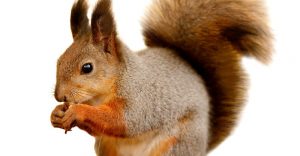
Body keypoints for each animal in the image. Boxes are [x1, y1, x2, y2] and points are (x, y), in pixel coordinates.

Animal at [49, 0, 272, 155]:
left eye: (87, 68)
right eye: (59, 60)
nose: (59, 96)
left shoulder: (141, 99)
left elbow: (123, 120)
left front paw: (78, 111)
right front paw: (56, 114)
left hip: (176, 145)